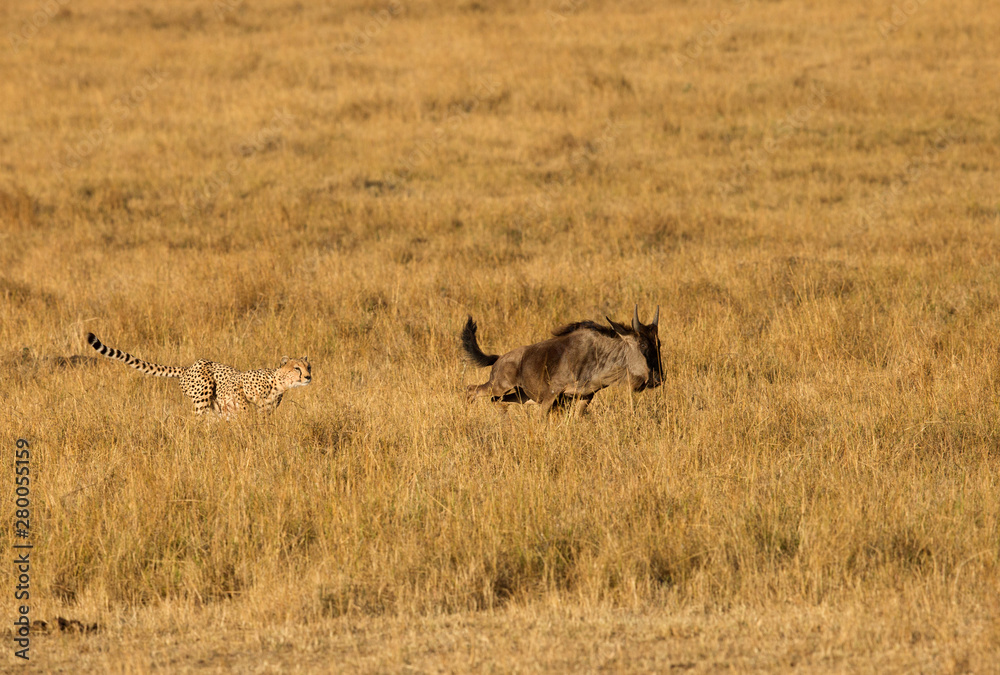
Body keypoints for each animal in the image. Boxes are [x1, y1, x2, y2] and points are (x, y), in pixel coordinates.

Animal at [86, 333, 311, 418]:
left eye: (309, 367)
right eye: (297, 368)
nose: (308, 377)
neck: (278, 384)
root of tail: (188, 367)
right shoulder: (238, 384)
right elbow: (243, 403)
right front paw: (245, 417)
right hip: (204, 387)